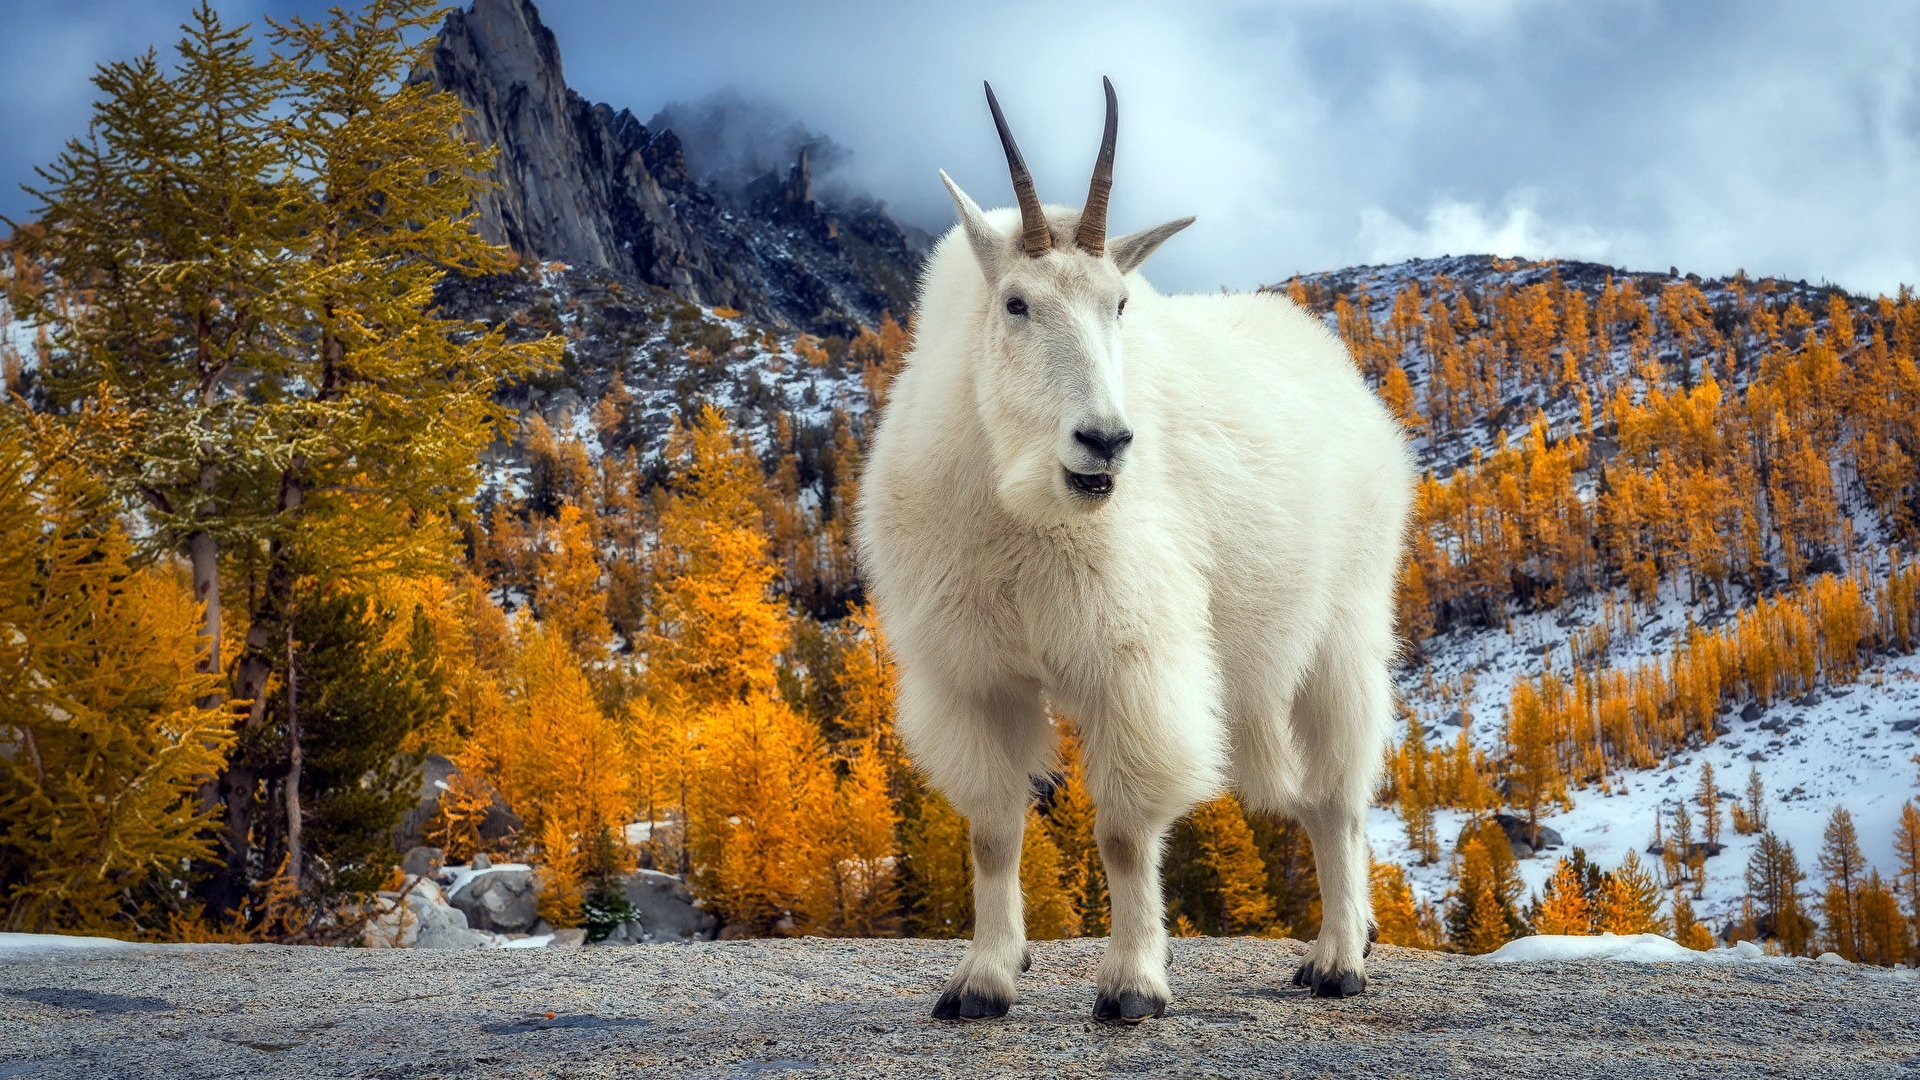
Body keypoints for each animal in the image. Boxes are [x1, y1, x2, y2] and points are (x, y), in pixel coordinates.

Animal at [854, 79, 1416, 1023]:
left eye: (1119, 304)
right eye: (1016, 303)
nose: (1106, 442)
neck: (1017, 508)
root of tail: (1341, 371)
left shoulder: (1129, 662)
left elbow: (1121, 831)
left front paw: (1131, 985)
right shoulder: (976, 676)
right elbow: (993, 830)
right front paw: (984, 979)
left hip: (1341, 633)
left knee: (1338, 796)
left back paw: (1340, 959)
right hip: (1252, 670)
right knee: (1299, 795)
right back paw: (1356, 936)